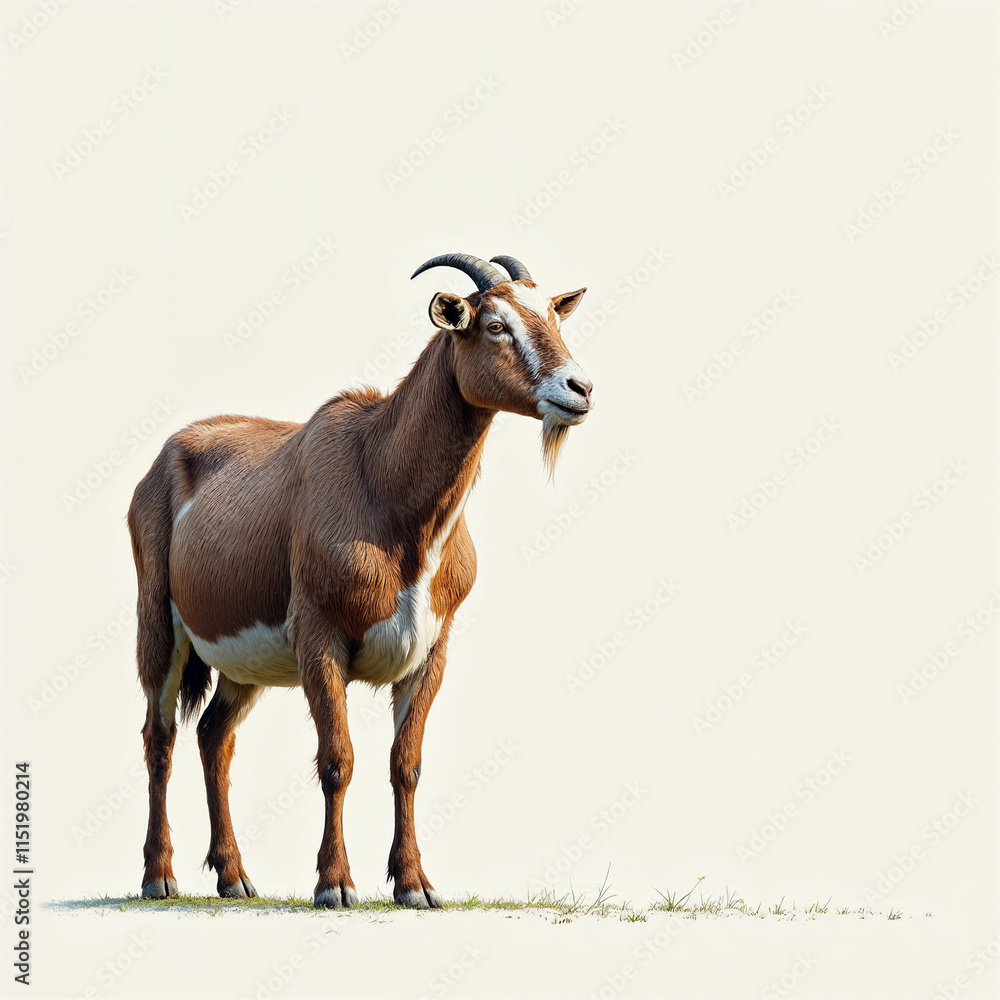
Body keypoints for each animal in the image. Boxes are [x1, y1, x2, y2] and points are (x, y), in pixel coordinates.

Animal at [127, 252, 593, 908]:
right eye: (495, 324)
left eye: (552, 312)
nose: (580, 390)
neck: (379, 473)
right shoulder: (320, 640)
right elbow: (336, 761)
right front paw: (335, 884)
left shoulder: (431, 649)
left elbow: (406, 764)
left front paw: (415, 884)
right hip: (160, 625)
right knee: (160, 736)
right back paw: (158, 875)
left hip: (243, 666)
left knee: (214, 736)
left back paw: (234, 876)